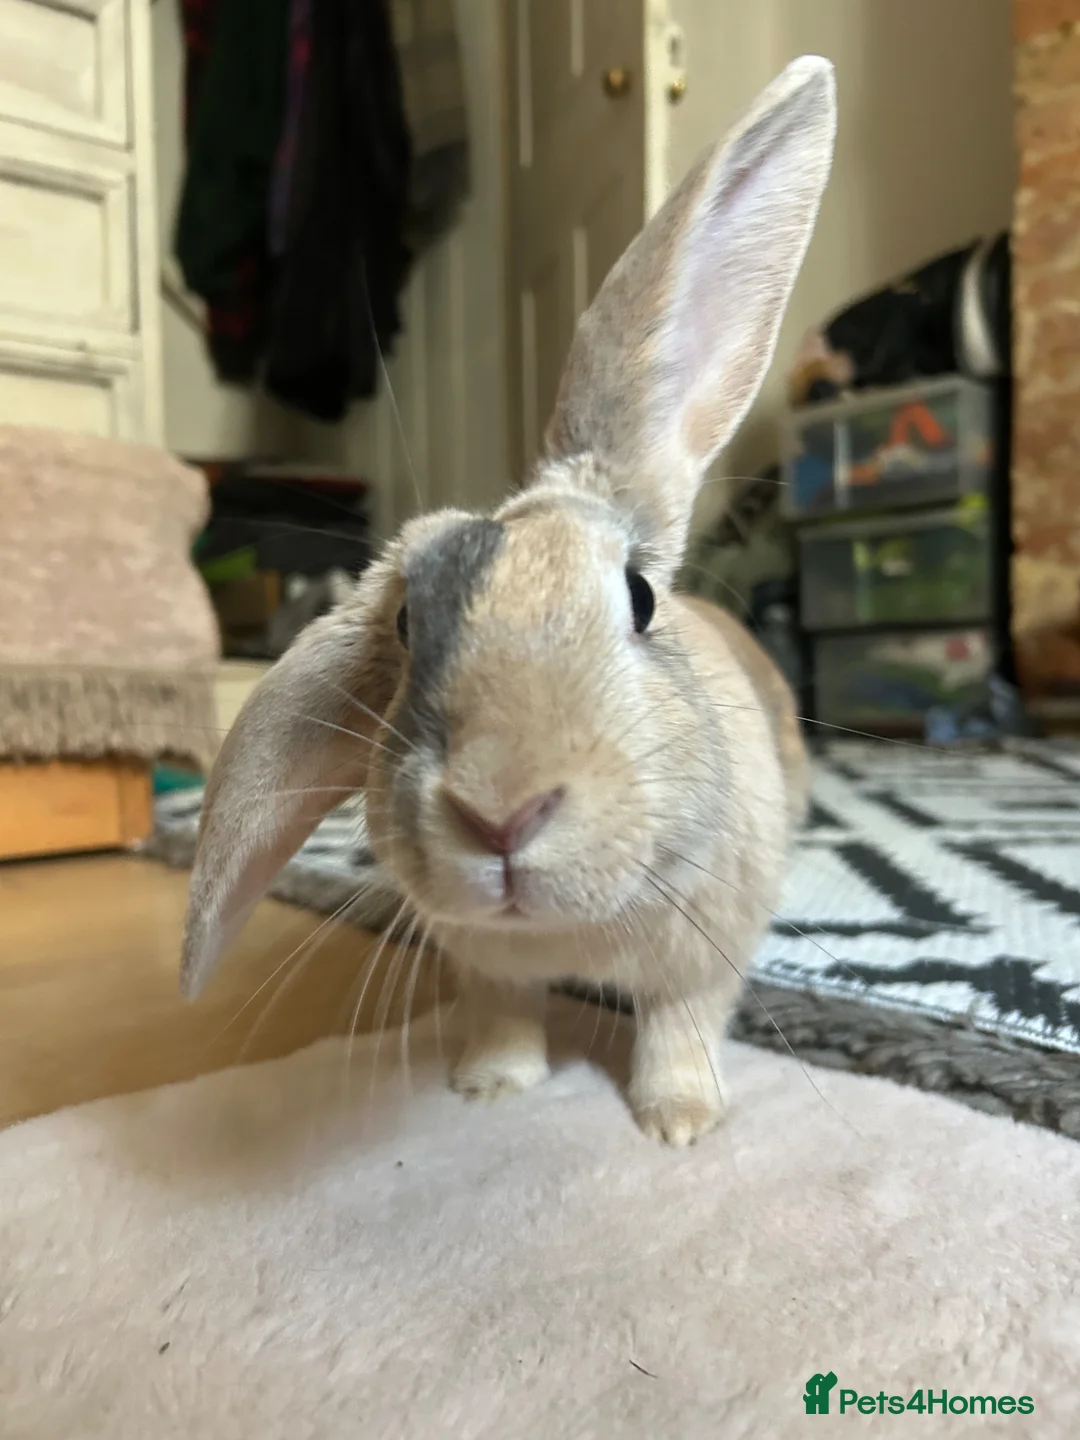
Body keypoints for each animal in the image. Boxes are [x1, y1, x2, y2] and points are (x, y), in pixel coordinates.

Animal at [180, 57, 836, 1146]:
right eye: (409, 625)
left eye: (640, 598)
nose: (500, 813)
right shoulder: (483, 965)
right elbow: (502, 1012)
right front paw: (487, 1088)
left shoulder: (703, 957)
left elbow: (680, 1024)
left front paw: (679, 1124)